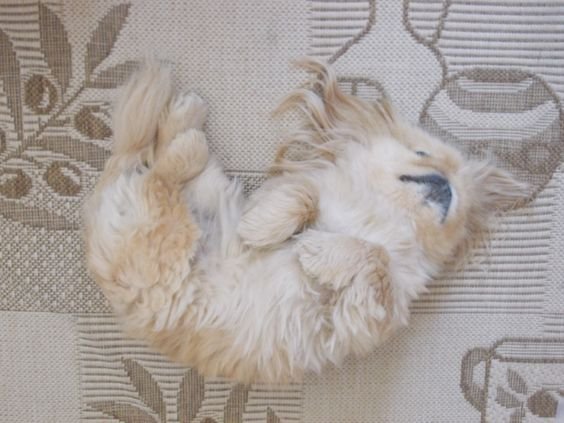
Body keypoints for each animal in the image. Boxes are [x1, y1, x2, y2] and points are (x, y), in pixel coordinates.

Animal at [83, 58, 528, 384]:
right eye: (422, 154)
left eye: (460, 198)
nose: (446, 184)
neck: (377, 216)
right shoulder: (304, 190)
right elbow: (303, 196)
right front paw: (266, 228)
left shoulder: (371, 311)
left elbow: (375, 258)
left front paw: (318, 250)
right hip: (174, 229)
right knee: (157, 171)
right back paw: (187, 122)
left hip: (188, 210)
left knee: (159, 166)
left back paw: (185, 121)